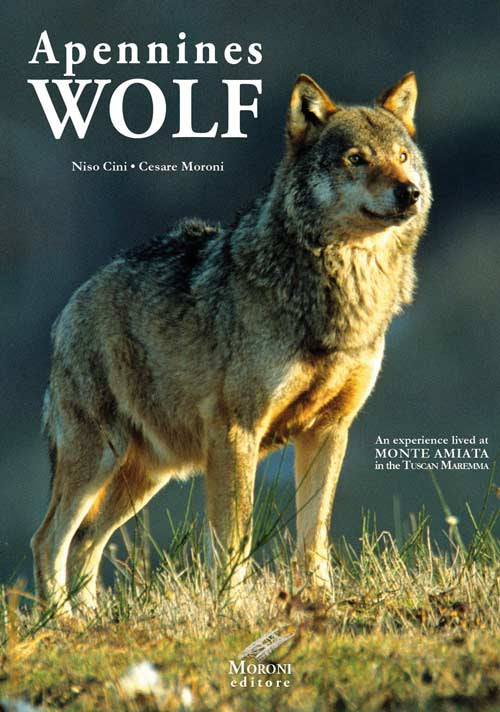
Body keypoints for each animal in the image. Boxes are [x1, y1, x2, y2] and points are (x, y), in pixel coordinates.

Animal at [32, 72, 431, 613]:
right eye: (356, 159)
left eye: (403, 155)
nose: (410, 192)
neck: (338, 293)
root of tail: (73, 300)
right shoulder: (237, 431)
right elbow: (234, 537)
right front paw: (234, 610)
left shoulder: (329, 429)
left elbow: (314, 534)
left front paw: (319, 603)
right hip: (100, 458)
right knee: (50, 539)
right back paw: (65, 622)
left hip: (147, 475)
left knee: (85, 542)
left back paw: (91, 620)